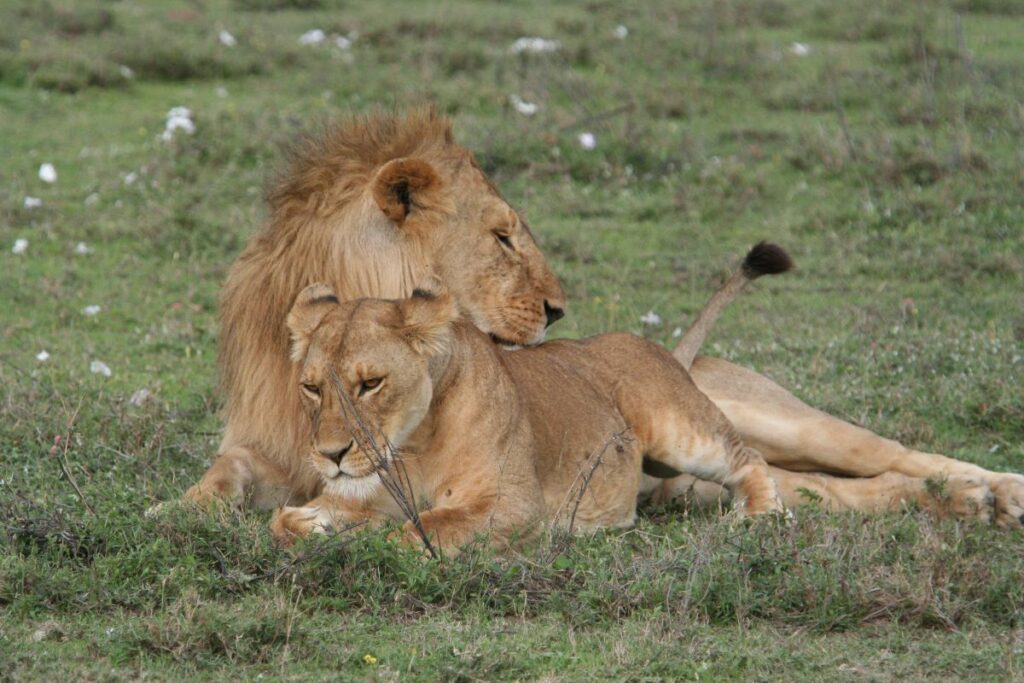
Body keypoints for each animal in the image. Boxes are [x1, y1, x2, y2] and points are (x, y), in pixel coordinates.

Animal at [269, 285, 783, 552]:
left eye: (370, 384)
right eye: (312, 388)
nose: (331, 455)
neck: (411, 447)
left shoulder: (515, 504)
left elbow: (421, 531)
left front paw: (368, 540)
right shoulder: (359, 495)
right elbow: (279, 520)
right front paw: (315, 526)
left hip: (679, 432)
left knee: (750, 458)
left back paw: (760, 516)